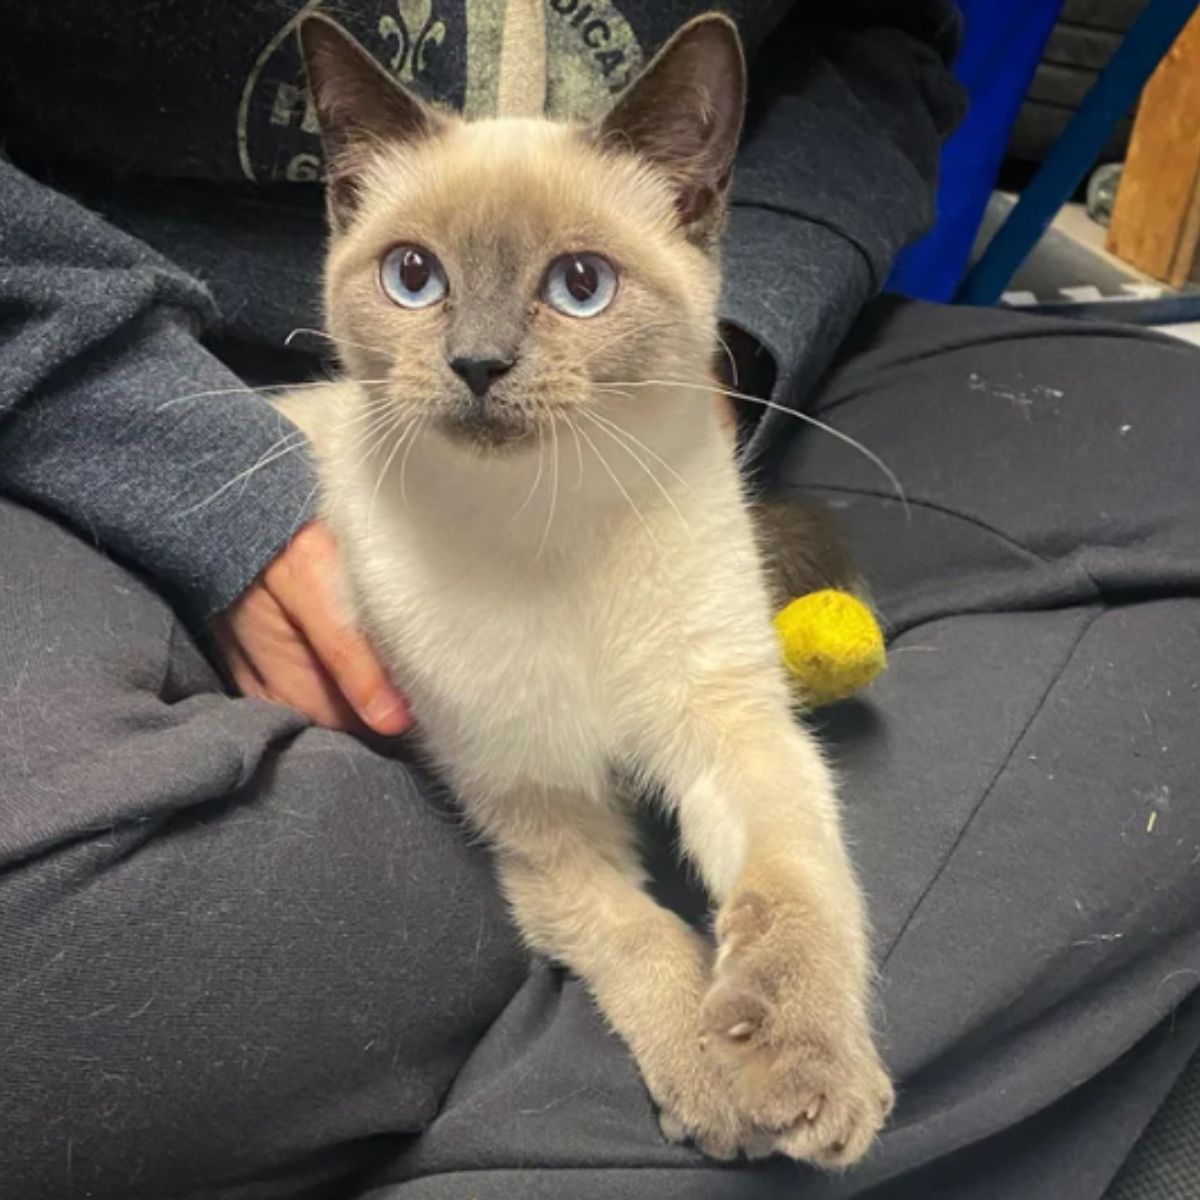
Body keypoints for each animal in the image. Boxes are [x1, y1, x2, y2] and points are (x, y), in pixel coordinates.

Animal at [278, 9, 892, 1166]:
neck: (550, 525)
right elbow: (644, 938)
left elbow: (796, 887)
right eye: (415, 277)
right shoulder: (540, 812)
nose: (477, 364)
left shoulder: (733, 729)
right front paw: (715, 1085)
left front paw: (806, 1074)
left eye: (579, 286)